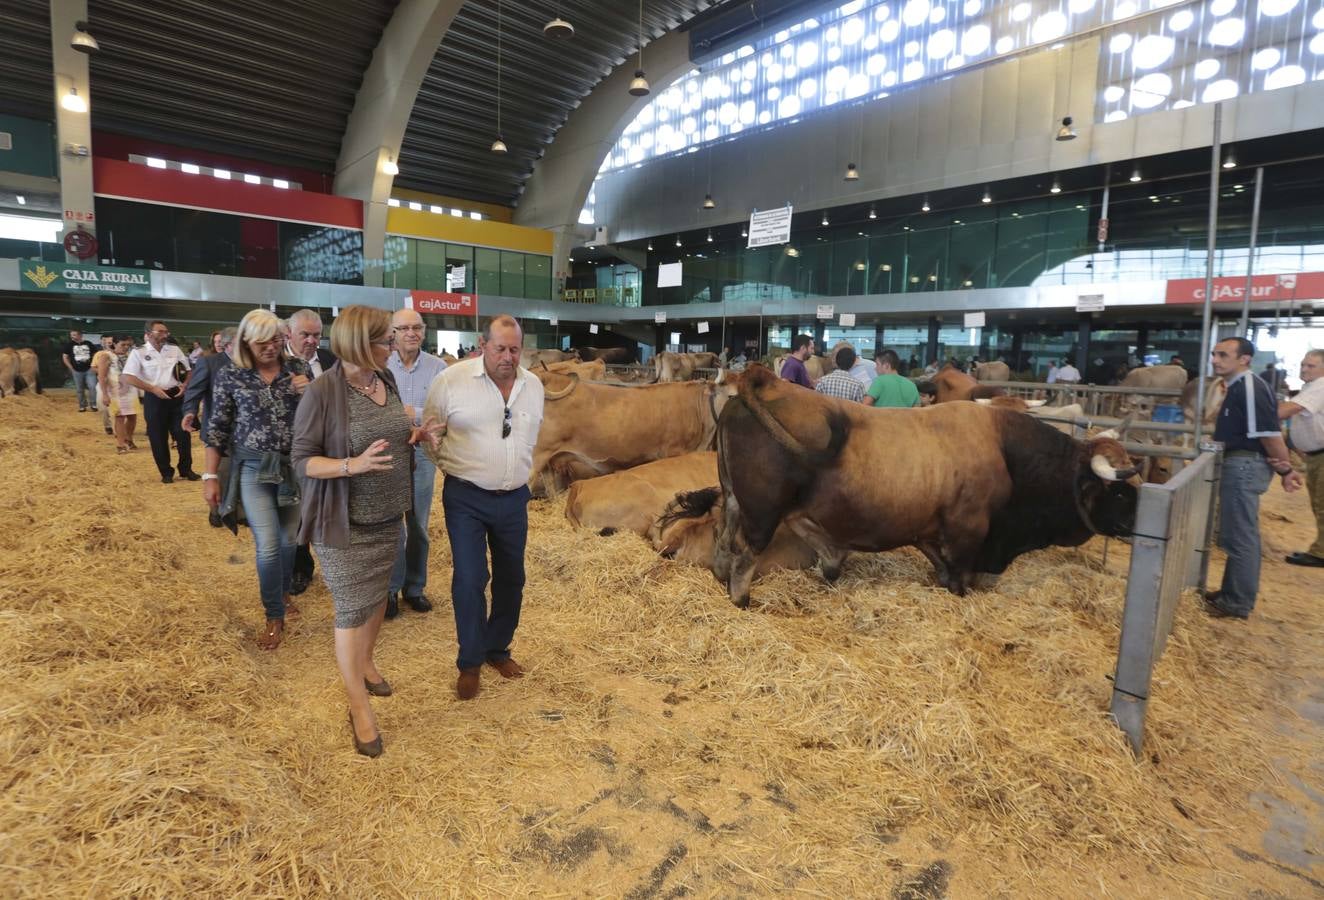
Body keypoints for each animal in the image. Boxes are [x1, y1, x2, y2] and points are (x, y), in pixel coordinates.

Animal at [714, 362, 1138, 603]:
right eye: (1118, 490)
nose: (1138, 523)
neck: (1006, 453)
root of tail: (764, 381)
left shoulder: (930, 530)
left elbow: (942, 568)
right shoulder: (968, 531)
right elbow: (958, 581)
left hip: (735, 499)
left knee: (724, 540)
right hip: (763, 513)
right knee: (745, 555)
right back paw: (742, 598)